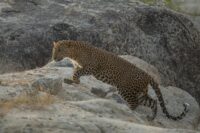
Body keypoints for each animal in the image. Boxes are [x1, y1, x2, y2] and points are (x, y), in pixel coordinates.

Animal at [51, 39, 189, 120]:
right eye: (54, 50)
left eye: (60, 50)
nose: (53, 58)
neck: (74, 54)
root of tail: (147, 75)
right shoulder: (79, 66)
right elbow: (75, 72)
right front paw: (73, 81)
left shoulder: (91, 67)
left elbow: (77, 73)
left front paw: (74, 81)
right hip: (138, 92)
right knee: (153, 101)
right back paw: (151, 117)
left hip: (125, 89)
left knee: (135, 103)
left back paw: (127, 109)